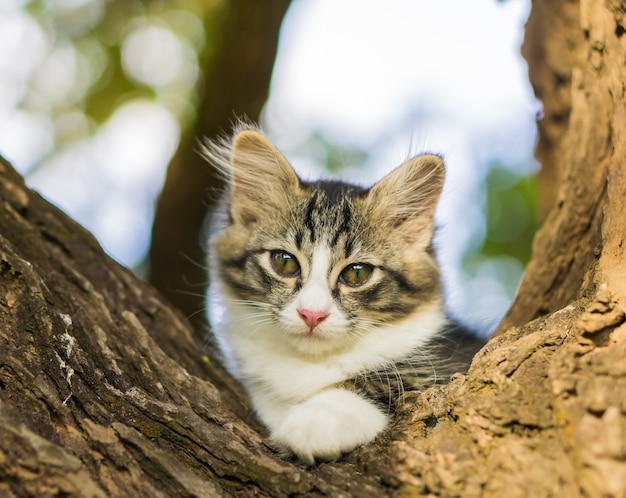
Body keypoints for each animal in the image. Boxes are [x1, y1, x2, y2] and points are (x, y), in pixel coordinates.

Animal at [205, 124, 482, 462]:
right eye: (284, 262)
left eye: (356, 273)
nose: (312, 314)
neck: (311, 362)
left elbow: (381, 384)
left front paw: (316, 421)